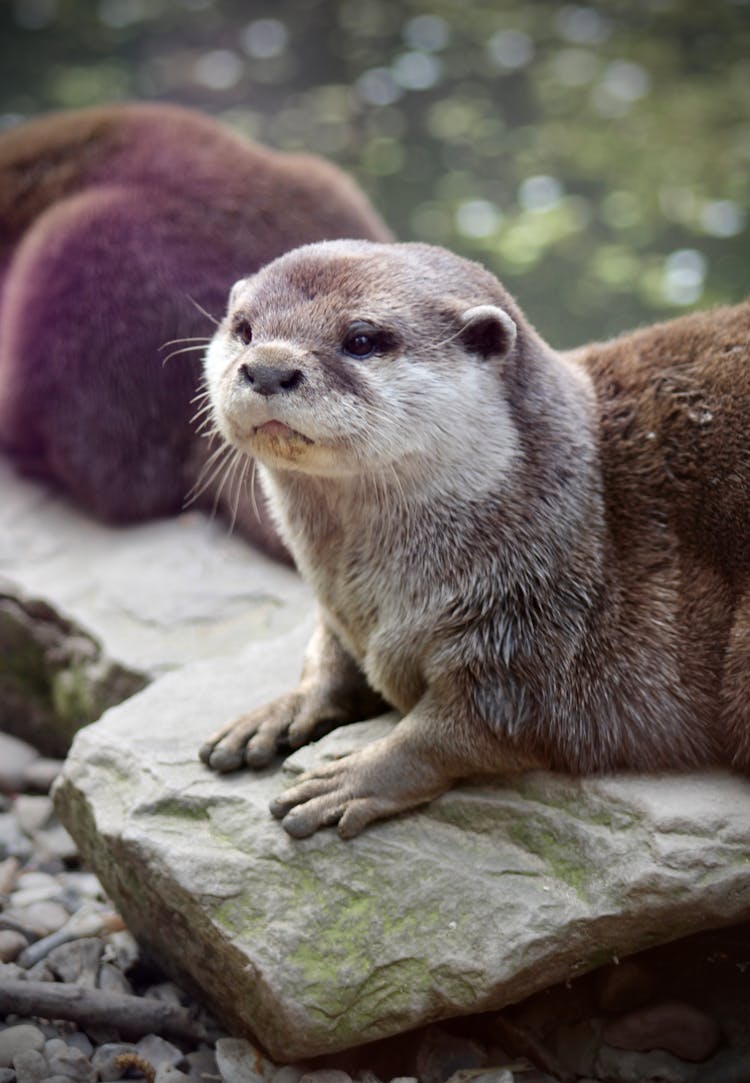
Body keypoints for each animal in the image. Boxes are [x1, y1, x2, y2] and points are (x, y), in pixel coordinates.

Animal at [199, 241, 748, 836]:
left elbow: (471, 728)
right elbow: (332, 656)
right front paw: (281, 709)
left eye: (362, 339)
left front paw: (354, 778)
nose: (268, 368)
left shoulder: (547, 635)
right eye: (243, 328)